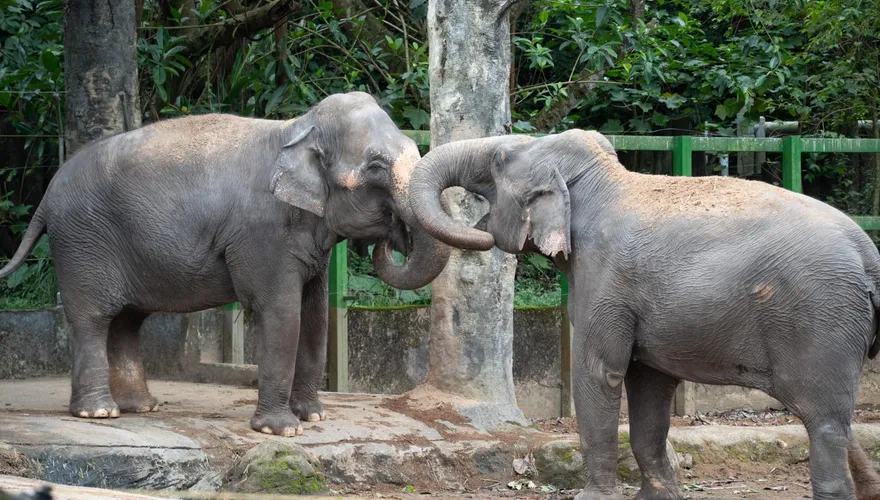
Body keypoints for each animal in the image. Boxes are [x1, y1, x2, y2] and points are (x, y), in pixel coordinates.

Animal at [0, 91, 450, 437]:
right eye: (375, 166)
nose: (393, 238)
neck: (295, 128)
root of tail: (46, 197)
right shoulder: (262, 233)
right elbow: (281, 312)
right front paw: (282, 430)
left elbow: (315, 314)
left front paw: (314, 417)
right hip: (82, 243)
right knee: (94, 318)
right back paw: (99, 413)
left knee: (127, 321)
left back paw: (141, 407)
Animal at [406, 129, 880, 499]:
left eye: (500, 160)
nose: (478, 234)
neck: (603, 180)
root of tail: (868, 255)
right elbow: (650, 384)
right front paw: (657, 496)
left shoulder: (604, 278)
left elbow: (599, 372)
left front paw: (591, 498)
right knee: (831, 419)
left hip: (821, 319)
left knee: (822, 420)